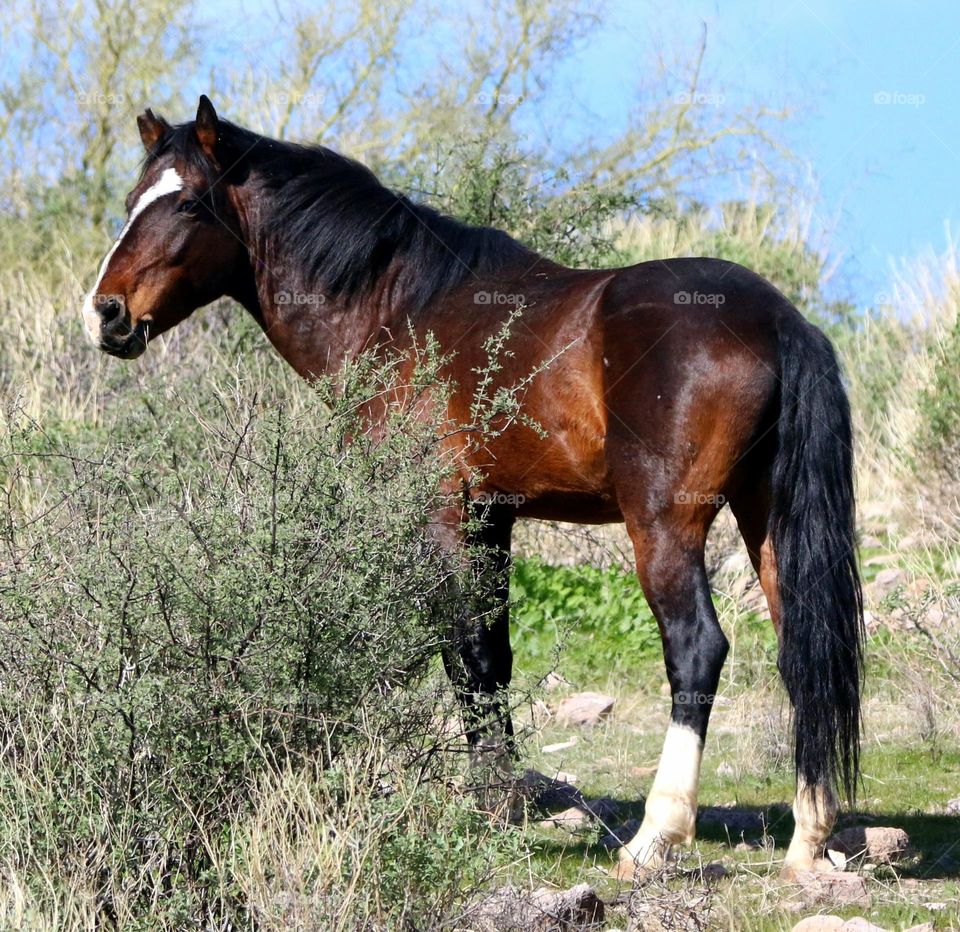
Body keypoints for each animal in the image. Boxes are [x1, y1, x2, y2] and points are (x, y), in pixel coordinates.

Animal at [81, 96, 864, 881]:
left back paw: (655, 837)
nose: (106, 312)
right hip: (767, 522)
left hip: (665, 527)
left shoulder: (443, 513)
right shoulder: (492, 517)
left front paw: (489, 809)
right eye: (130, 201)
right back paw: (809, 838)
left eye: (187, 202)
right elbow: (493, 652)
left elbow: (468, 654)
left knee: (696, 648)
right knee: (804, 649)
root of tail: (777, 318)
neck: (397, 309)